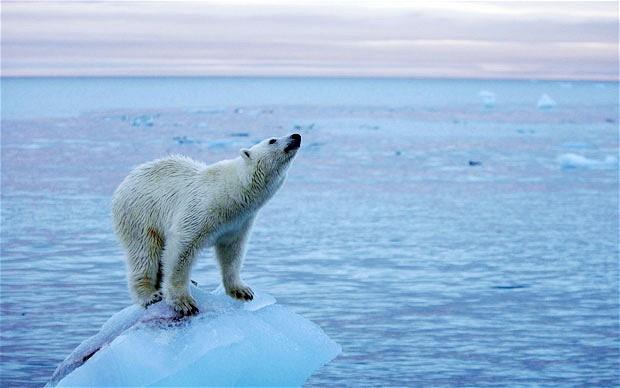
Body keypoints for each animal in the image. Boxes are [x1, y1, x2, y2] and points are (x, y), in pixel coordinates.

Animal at [114, 133, 302, 316]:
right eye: (272, 140)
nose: (296, 136)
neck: (232, 193)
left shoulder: (238, 223)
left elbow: (232, 252)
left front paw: (242, 291)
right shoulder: (200, 209)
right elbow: (181, 249)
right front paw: (184, 302)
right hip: (140, 213)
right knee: (144, 251)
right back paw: (150, 294)